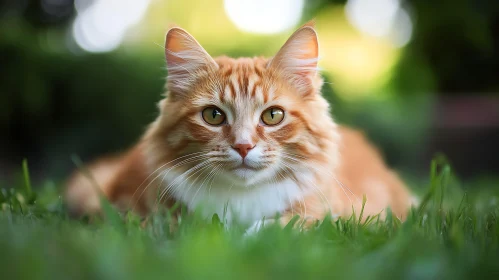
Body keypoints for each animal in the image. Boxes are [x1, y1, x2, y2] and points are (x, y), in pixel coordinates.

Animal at [64, 23, 412, 228]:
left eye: (272, 116)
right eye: (213, 116)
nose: (243, 146)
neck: (240, 200)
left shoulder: (337, 215)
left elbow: (276, 228)